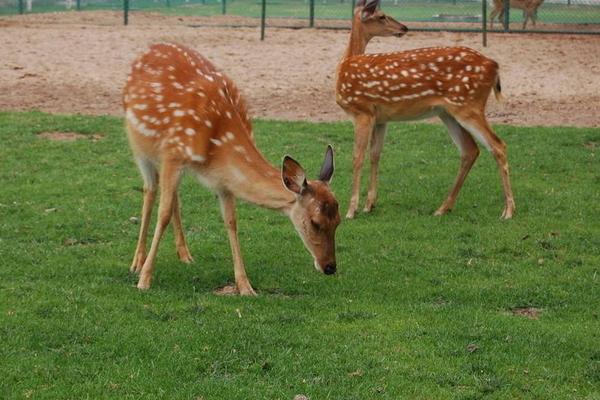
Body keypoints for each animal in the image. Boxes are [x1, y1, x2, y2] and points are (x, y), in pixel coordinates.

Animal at [123, 43, 340, 294]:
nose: (330, 267)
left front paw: (245, 286)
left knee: (174, 195)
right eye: (315, 222)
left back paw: (185, 254)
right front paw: (145, 280)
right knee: (150, 189)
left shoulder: (222, 181)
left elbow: (231, 222)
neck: (217, 144)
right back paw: (137, 262)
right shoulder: (173, 154)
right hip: (139, 145)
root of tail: (150, 48)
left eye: (338, 221)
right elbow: (163, 213)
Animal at [338, 0, 516, 219]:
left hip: (468, 105)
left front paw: (351, 210)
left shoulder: (361, 111)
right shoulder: (380, 118)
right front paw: (369, 204)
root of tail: (494, 65)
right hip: (448, 112)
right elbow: (375, 154)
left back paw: (508, 210)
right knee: (470, 150)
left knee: (498, 145)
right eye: (381, 16)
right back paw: (443, 208)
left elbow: (357, 157)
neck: (344, 66)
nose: (404, 28)